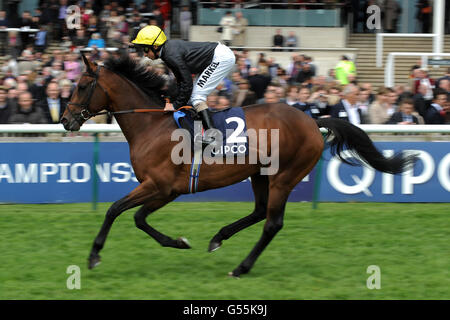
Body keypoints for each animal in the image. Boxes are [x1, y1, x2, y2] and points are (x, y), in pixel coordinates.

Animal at [61, 53, 416, 276]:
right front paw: (179, 242)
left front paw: (94, 256)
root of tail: (312, 120)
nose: (65, 120)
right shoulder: (165, 191)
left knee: (272, 223)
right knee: (259, 212)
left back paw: (242, 267)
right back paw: (219, 237)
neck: (152, 126)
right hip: (260, 173)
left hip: (285, 176)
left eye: (81, 85)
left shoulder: (159, 186)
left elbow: (115, 210)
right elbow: (138, 218)